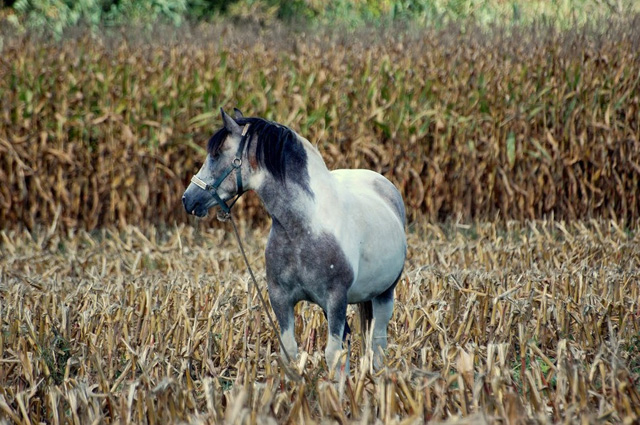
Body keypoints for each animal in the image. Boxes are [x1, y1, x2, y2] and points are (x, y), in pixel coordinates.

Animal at [182, 108, 408, 374]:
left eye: (216, 154)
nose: (188, 199)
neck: (304, 228)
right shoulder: (281, 297)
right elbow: (289, 351)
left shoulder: (336, 298)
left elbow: (332, 354)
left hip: (384, 295)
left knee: (377, 343)